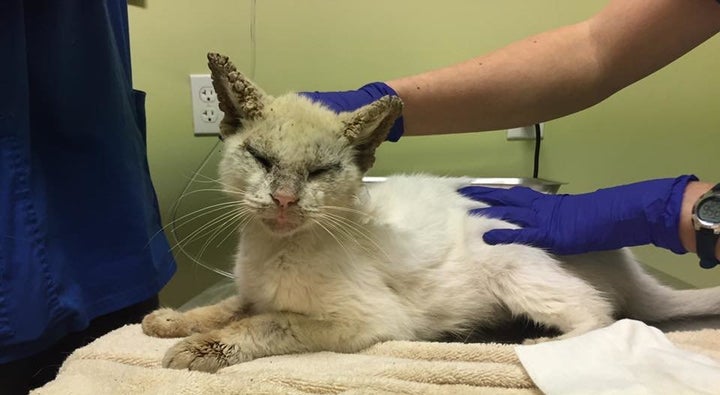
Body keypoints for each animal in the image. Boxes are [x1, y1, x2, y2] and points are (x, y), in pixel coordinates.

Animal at [141, 53, 720, 374]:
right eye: (261, 160)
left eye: (321, 171)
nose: (284, 199)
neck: (272, 247)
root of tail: (629, 265)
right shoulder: (252, 289)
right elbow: (227, 306)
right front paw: (169, 322)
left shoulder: (363, 320)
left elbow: (264, 323)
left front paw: (198, 350)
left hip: (509, 263)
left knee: (602, 313)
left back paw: (537, 340)